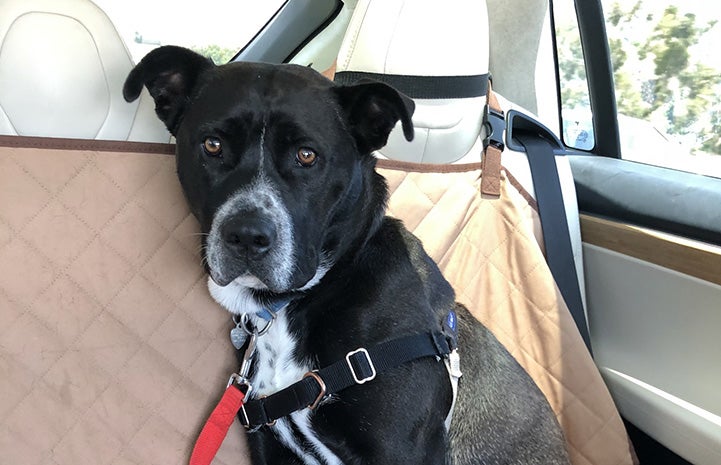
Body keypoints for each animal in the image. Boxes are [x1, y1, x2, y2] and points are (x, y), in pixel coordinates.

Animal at [125, 44, 572, 464]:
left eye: (307, 155)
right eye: (212, 145)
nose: (247, 236)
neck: (308, 296)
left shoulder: (403, 451)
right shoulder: (272, 447)